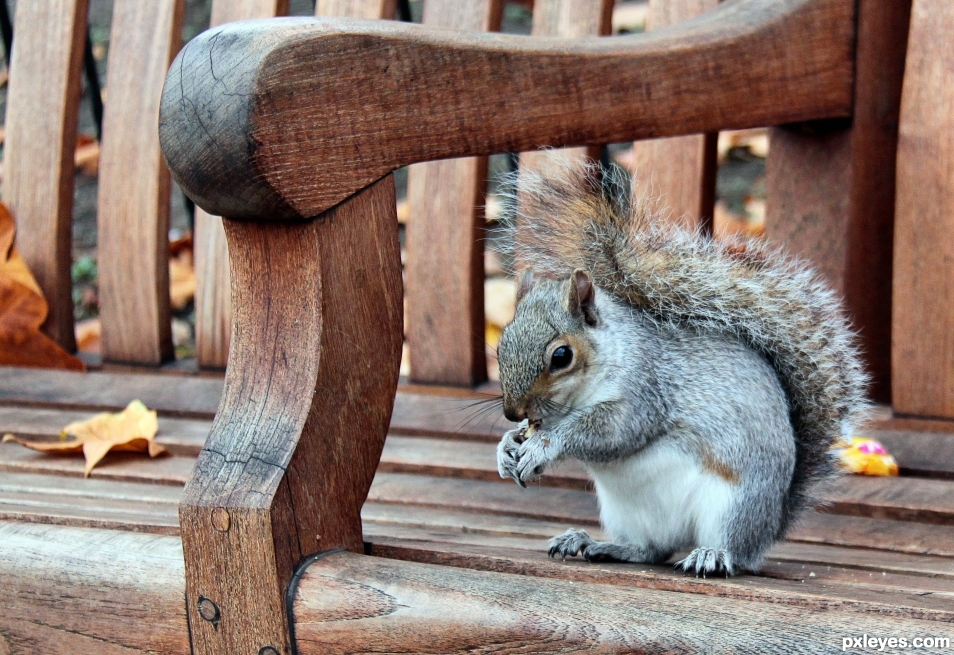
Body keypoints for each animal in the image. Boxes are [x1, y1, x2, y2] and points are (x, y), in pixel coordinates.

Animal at [494, 161, 868, 576]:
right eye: (500, 344)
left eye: (561, 356)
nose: (513, 410)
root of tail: (773, 523)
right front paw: (507, 446)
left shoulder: (646, 389)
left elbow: (612, 431)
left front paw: (543, 446)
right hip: (625, 513)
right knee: (649, 550)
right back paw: (592, 542)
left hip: (731, 506)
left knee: (732, 550)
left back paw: (711, 555)